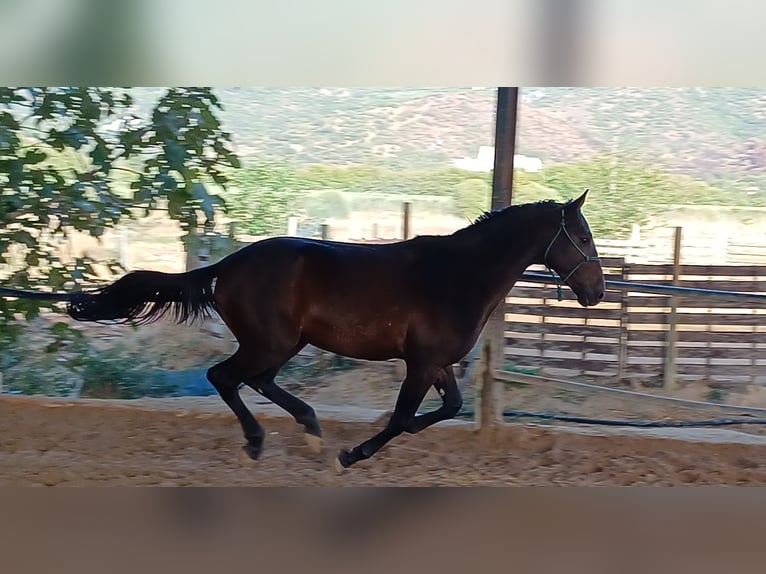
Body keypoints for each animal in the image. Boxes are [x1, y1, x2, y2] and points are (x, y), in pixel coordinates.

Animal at [1, 190, 604, 470]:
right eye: (582, 237)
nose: (597, 291)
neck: (457, 274)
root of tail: (229, 265)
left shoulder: (436, 363)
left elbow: (446, 409)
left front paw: (365, 443)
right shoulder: (419, 363)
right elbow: (403, 416)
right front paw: (353, 454)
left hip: (285, 343)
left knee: (254, 382)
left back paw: (308, 430)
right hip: (272, 341)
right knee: (225, 377)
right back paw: (264, 441)